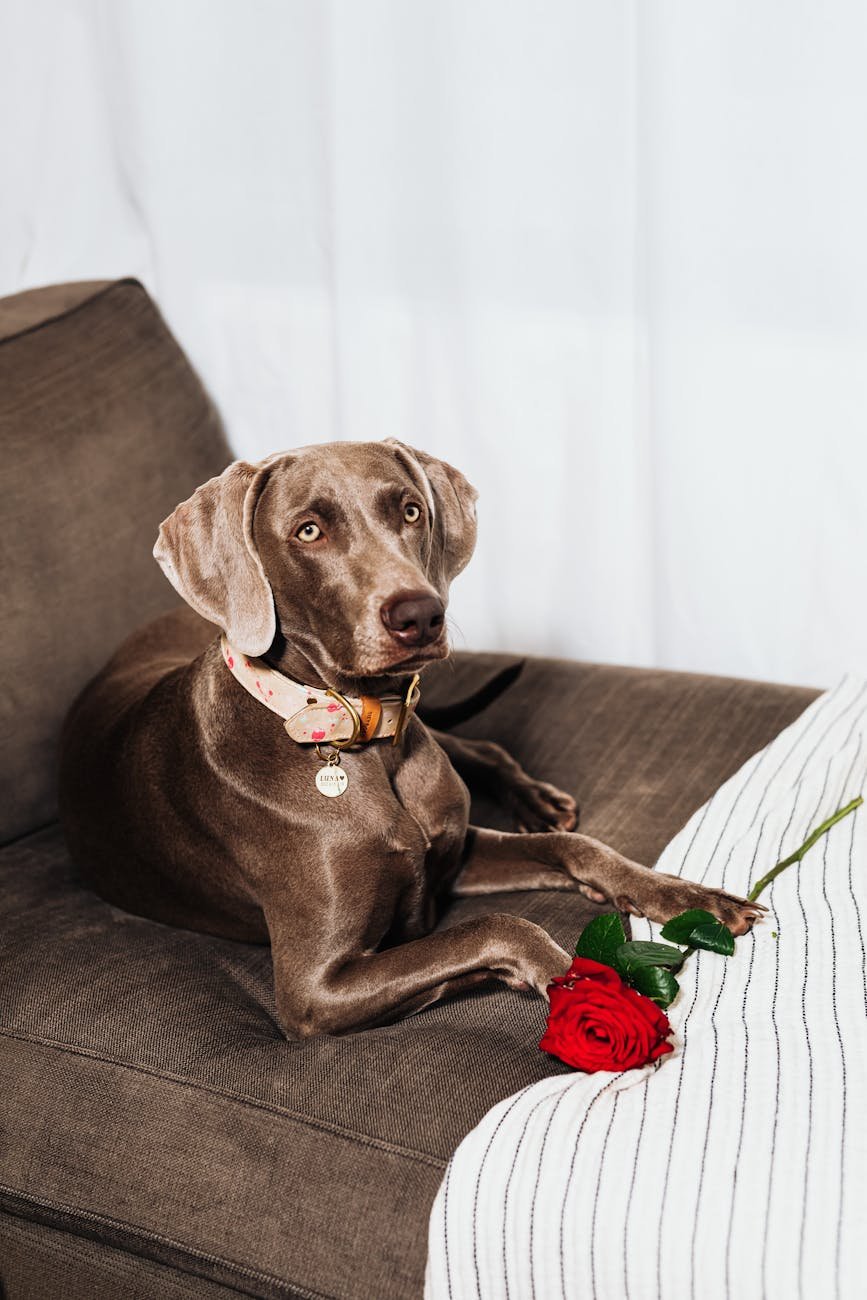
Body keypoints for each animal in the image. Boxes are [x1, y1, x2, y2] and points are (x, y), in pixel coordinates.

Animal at [59, 439, 764, 1034]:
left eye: (411, 510)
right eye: (308, 530)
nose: (421, 614)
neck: (361, 738)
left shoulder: (452, 850)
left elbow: (576, 846)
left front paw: (688, 897)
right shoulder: (314, 991)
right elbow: (494, 927)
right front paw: (589, 988)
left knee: (479, 746)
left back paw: (538, 799)